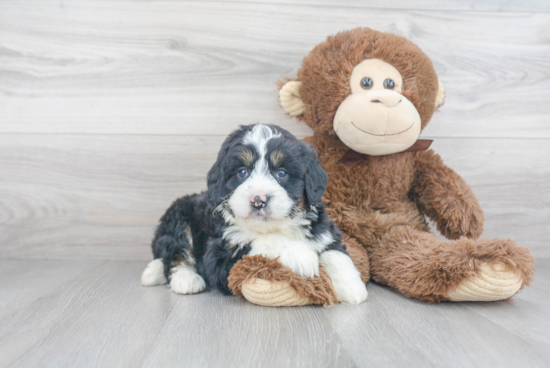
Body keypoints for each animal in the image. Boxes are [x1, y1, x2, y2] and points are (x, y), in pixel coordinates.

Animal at [141, 124, 370, 304]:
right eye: (242, 172)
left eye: (281, 173)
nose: (258, 200)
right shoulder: (219, 254)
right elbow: (265, 242)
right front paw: (301, 255)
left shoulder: (322, 227)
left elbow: (334, 252)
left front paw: (352, 287)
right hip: (178, 218)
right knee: (174, 252)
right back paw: (184, 278)